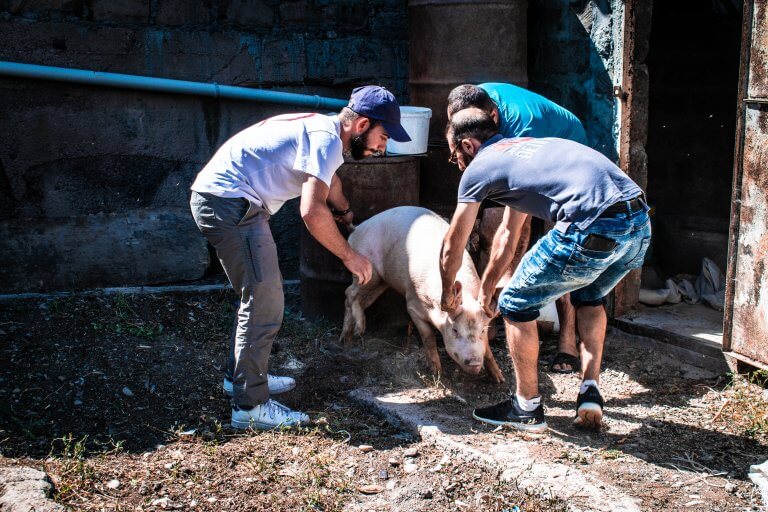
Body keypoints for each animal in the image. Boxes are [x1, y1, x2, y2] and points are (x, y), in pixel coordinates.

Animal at [340, 206, 504, 382]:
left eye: (482, 331)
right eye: (455, 330)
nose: (474, 362)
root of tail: (356, 229)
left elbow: (487, 348)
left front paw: (499, 379)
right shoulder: (413, 305)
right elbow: (428, 337)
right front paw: (436, 373)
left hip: (380, 282)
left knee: (359, 299)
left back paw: (347, 340)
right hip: (368, 272)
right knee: (349, 293)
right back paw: (358, 331)